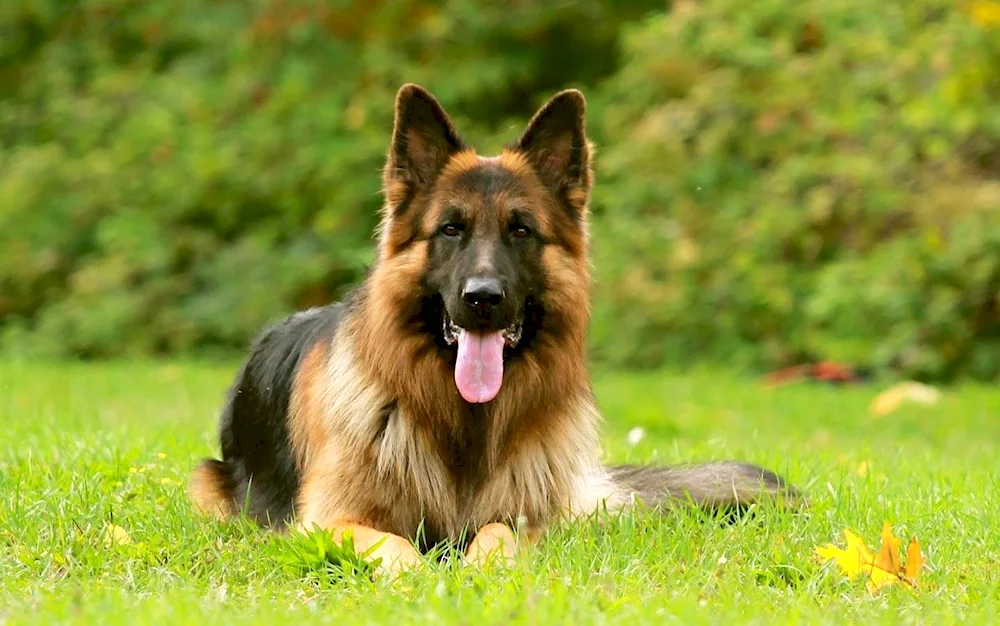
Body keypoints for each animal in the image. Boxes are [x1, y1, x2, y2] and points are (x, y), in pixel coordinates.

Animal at [188, 83, 796, 576]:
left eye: (521, 230)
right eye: (450, 230)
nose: (482, 299)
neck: (464, 424)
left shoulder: (525, 517)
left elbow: (499, 533)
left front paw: (485, 568)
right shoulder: (327, 519)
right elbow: (389, 543)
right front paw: (419, 576)